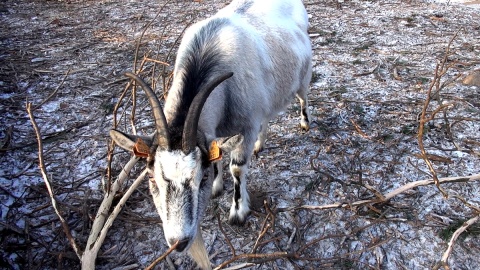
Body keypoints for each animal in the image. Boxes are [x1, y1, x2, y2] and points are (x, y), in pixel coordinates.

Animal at [109, 0, 312, 268]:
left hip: (303, 77)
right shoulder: (217, 130)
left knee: (303, 97)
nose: (179, 242)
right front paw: (217, 187)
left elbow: (237, 168)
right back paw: (260, 143)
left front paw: (238, 211)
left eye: (200, 177)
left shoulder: (245, 125)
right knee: (266, 115)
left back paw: (305, 123)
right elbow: (218, 156)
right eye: (152, 178)